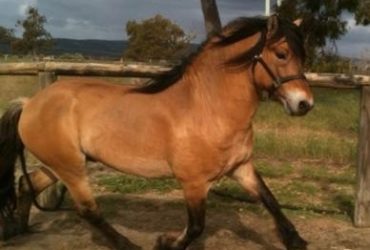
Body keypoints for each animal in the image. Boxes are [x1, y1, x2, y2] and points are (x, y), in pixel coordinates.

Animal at [0, 14, 314, 249]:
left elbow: (270, 200)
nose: (304, 104)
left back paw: (18, 228)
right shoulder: (194, 183)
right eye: (282, 53)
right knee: (88, 209)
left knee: (26, 184)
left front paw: (296, 240)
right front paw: (166, 242)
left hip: (60, 164)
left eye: (302, 56)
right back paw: (127, 245)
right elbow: (196, 227)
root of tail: (30, 103)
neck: (207, 109)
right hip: (71, 167)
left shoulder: (241, 167)